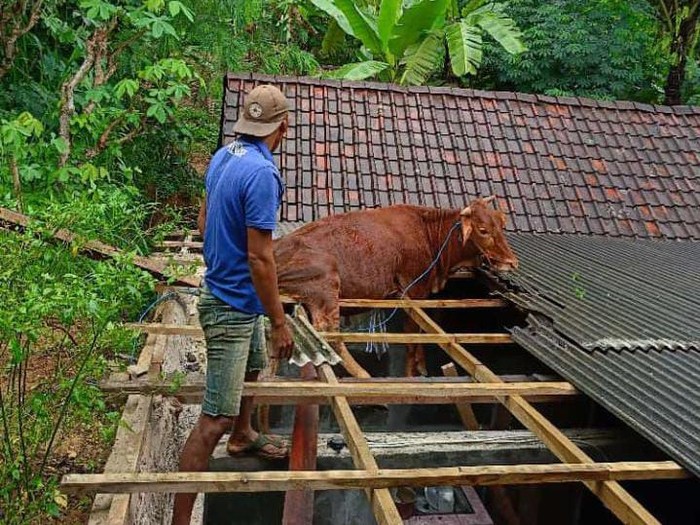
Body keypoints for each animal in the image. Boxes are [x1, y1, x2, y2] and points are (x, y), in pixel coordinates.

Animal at [274, 196, 520, 376]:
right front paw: (412, 373)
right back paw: (362, 375)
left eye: (501, 225)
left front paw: (421, 366)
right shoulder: (414, 291)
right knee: (329, 331)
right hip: (326, 282)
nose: (511, 262)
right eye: (482, 229)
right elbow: (413, 335)